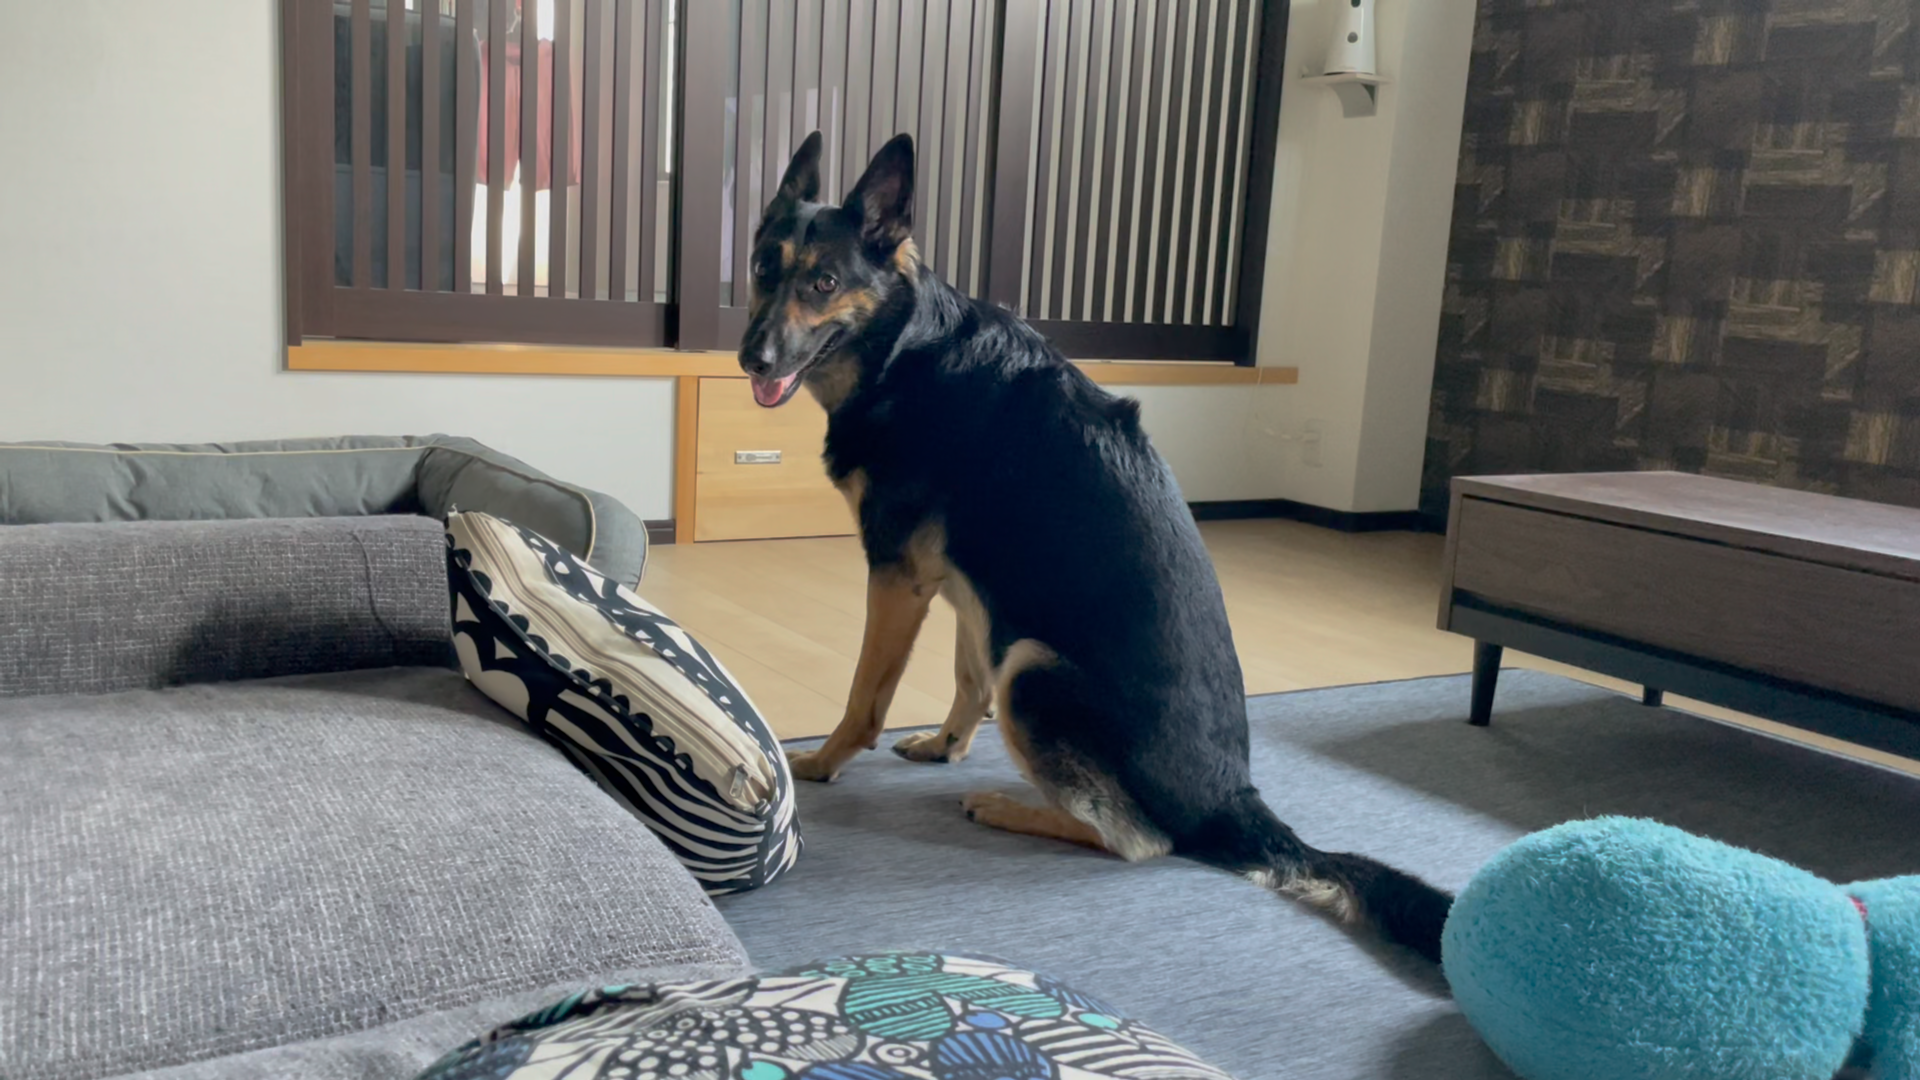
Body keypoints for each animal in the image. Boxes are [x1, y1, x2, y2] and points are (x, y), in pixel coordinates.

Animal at [738, 131, 1452, 962]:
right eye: (764, 268)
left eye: (823, 281)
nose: (751, 359)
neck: (903, 347)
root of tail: (1234, 801)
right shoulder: (971, 587)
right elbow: (966, 677)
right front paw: (946, 744)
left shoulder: (899, 578)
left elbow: (864, 697)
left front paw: (822, 764)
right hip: (1020, 647)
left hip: (1033, 668)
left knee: (1140, 842)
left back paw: (1012, 808)